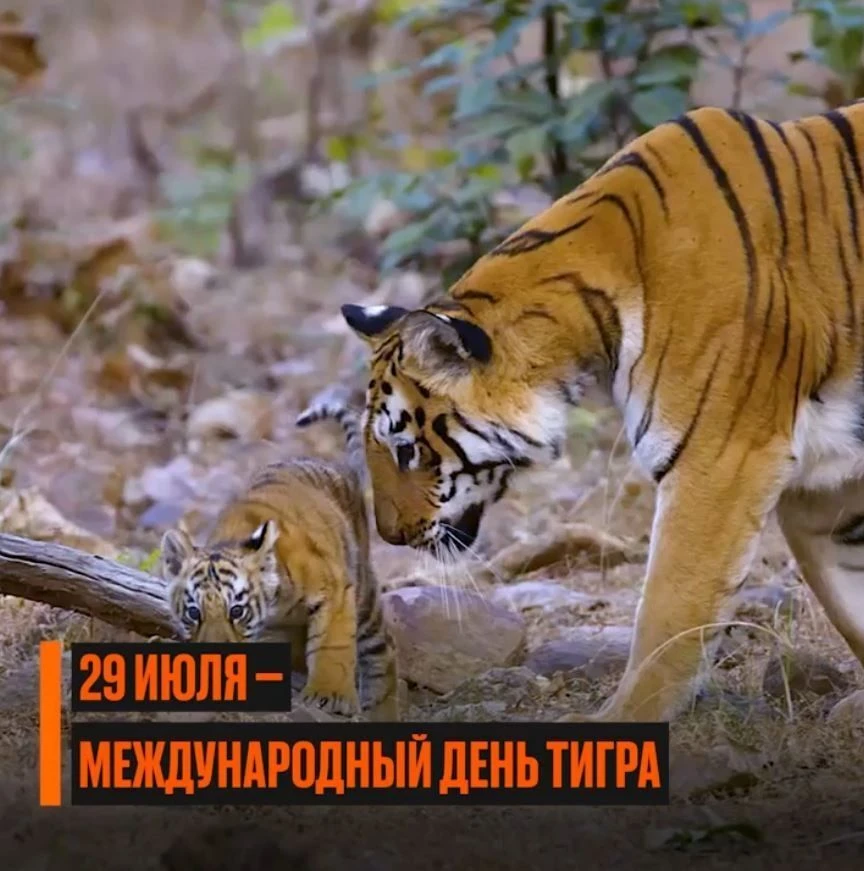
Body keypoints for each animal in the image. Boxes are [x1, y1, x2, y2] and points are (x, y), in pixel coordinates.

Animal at [158, 384, 399, 721]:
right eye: (194, 612)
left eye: (237, 611)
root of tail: (341, 468)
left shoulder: (336, 590)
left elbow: (332, 645)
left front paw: (329, 695)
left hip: (364, 593)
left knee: (382, 650)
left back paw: (381, 709)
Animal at [337, 101, 864, 724]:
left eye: (406, 449)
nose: (391, 536)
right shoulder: (821, 493)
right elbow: (850, 598)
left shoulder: (720, 463)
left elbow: (668, 613)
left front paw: (621, 719)